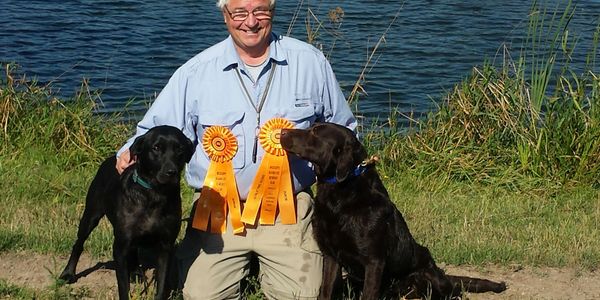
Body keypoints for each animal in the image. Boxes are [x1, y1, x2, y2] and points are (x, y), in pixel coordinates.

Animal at [59, 125, 193, 298]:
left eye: (180, 149)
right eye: (156, 148)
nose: (171, 172)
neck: (154, 194)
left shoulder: (165, 246)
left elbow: (161, 284)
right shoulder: (120, 247)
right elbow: (123, 287)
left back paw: (136, 272)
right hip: (91, 215)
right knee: (78, 244)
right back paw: (68, 273)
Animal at [282, 123, 506, 298]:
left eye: (315, 132)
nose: (282, 132)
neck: (341, 193)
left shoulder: (374, 261)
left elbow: (368, 295)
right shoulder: (331, 255)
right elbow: (325, 290)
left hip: (428, 277)